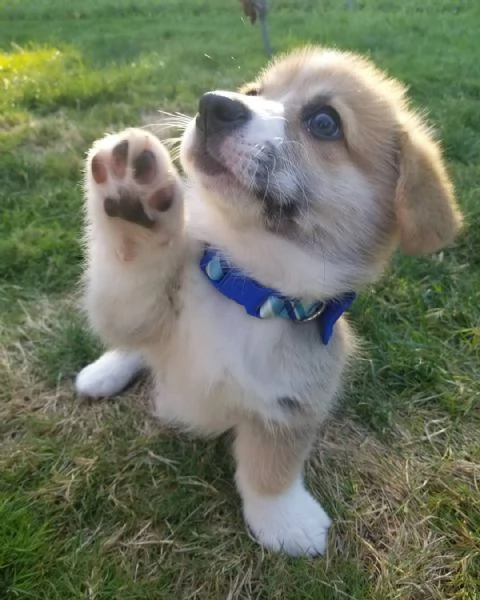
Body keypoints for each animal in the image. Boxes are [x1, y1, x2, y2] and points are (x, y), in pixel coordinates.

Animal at [77, 47, 464, 556]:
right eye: (254, 91)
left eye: (325, 122)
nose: (212, 105)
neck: (249, 291)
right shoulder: (139, 310)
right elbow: (131, 278)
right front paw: (131, 198)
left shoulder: (294, 398)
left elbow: (273, 463)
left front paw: (282, 519)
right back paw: (103, 371)